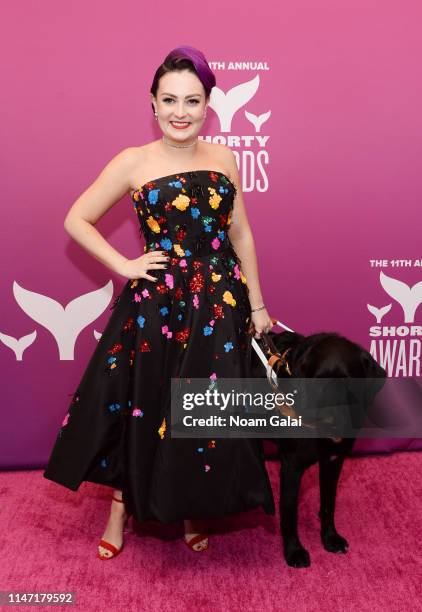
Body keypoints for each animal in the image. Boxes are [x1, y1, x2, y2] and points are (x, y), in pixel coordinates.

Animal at [251, 330, 386, 568]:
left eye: (347, 383)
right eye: (316, 383)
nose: (330, 422)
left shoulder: (333, 460)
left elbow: (328, 503)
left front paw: (330, 538)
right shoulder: (291, 467)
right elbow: (289, 511)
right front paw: (294, 551)